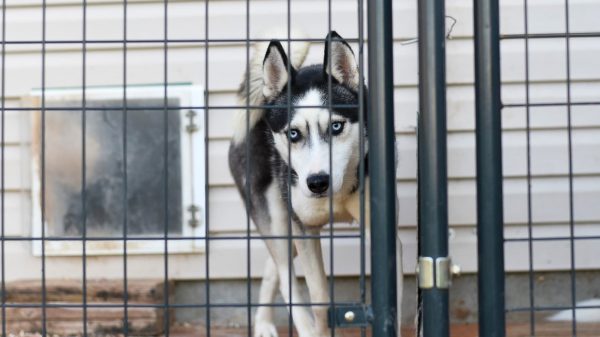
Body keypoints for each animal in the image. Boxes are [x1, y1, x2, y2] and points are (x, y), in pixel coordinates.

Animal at [230, 31, 404, 336]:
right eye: (294, 133)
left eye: (336, 126)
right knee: (285, 275)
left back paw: (263, 321)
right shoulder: (305, 230)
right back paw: (289, 325)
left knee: (273, 268)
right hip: (276, 218)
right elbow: (319, 299)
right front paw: (318, 327)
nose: (317, 182)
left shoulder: (383, 233)